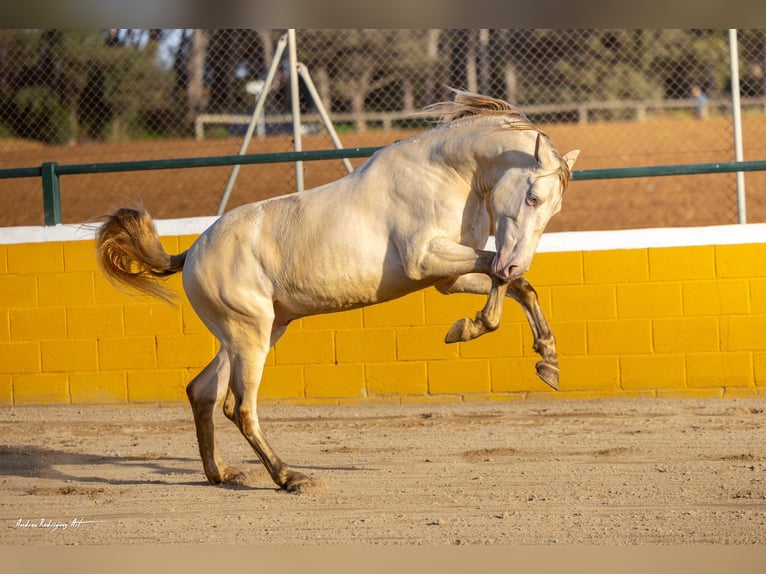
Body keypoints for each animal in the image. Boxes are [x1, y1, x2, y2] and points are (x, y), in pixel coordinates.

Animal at [99, 91, 584, 496]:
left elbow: (515, 284)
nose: (518, 259)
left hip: (255, 333)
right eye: (533, 197)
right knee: (240, 407)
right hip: (249, 336)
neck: (444, 175)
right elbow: (498, 275)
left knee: (203, 392)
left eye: (555, 206)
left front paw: (548, 362)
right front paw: (469, 328)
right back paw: (290, 478)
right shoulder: (427, 260)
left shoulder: (448, 276)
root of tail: (193, 251)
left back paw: (222, 474)